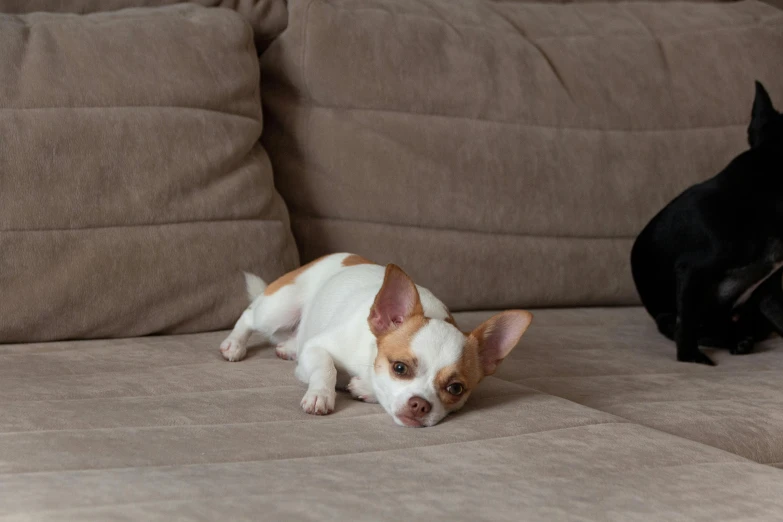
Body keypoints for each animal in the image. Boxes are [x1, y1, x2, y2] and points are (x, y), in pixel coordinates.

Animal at [224, 253, 536, 426]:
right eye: (400, 368)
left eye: (456, 389)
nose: (420, 405)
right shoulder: (316, 349)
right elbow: (326, 367)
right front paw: (321, 394)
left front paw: (364, 387)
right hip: (278, 308)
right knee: (250, 315)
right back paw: (234, 344)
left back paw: (288, 347)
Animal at [632, 82, 783, 366]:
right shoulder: (692, 270)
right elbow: (688, 322)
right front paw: (691, 359)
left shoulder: (770, 291)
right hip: (668, 316)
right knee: (691, 326)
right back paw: (732, 341)